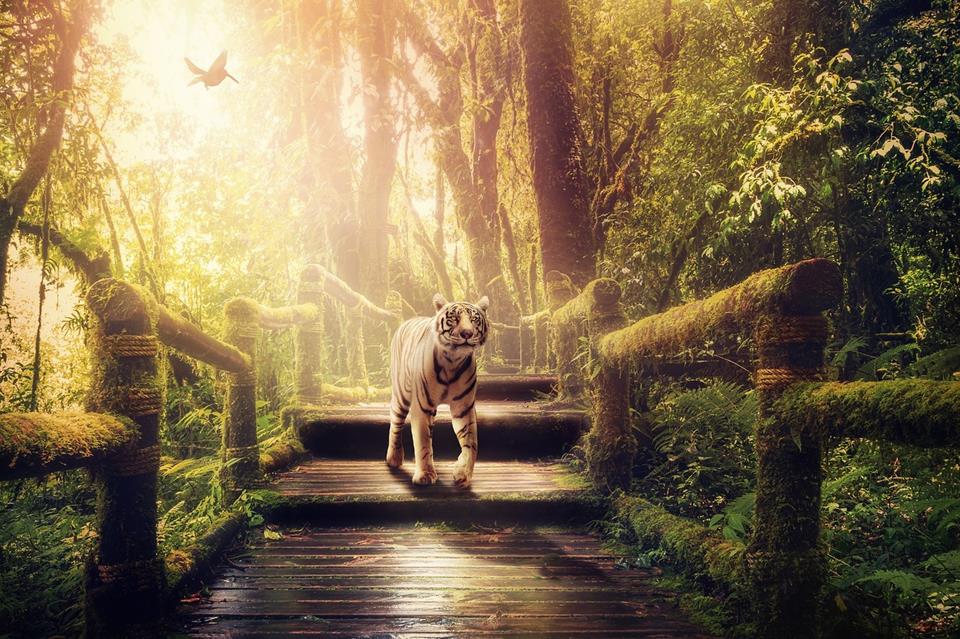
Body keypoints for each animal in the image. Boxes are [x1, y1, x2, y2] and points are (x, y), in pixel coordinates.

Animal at [386, 293, 489, 488]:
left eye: (474, 319)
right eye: (454, 318)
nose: (467, 333)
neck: (453, 361)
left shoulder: (464, 408)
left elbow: (472, 443)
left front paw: (463, 474)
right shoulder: (422, 406)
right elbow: (423, 441)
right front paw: (425, 475)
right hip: (401, 395)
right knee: (395, 423)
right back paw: (393, 458)